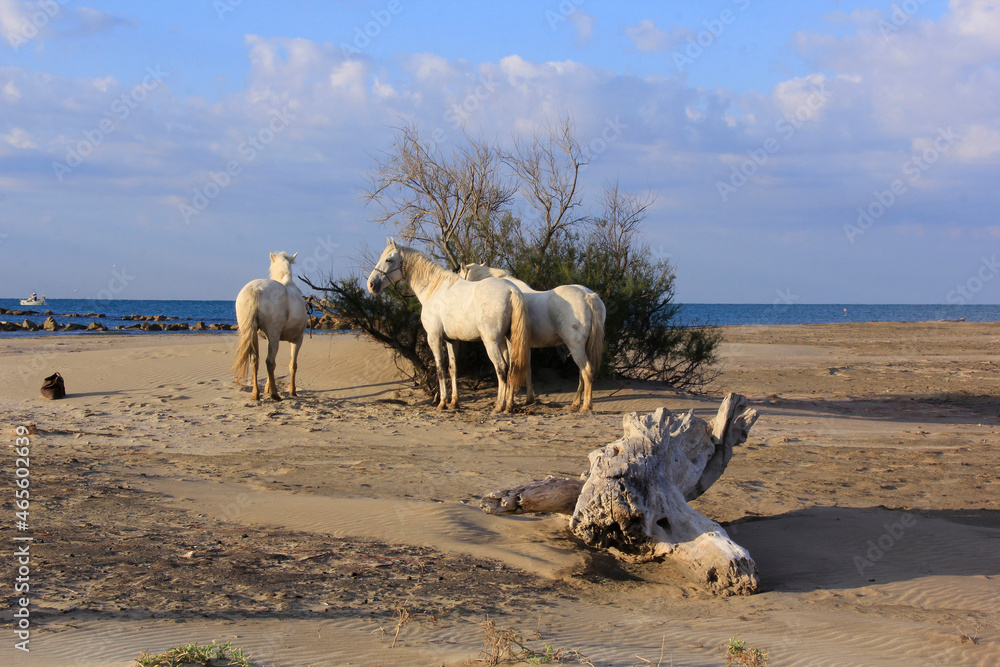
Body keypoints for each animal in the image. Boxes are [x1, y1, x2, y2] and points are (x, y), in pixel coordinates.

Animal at [232, 251, 308, 401]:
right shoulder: (297, 339)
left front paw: (267, 388)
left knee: (255, 360)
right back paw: (275, 394)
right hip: (274, 335)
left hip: (253, 334)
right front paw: (292, 391)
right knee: (269, 361)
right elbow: (293, 365)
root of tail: (255, 289)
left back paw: (256, 393)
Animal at [367, 240, 530, 413]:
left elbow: (440, 369)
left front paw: (442, 402)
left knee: (501, 368)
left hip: (491, 342)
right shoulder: (451, 340)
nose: (371, 284)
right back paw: (509, 405)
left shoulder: (434, 337)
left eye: (389, 260)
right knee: (512, 368)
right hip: (508, 340)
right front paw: (454, 402)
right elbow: (453, 369)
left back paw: (499, 405)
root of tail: (511, 290)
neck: (434, 289)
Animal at [461, 263, 606, 412]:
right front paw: (529, 399)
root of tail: (588, 296)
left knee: (587, 370)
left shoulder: (511, 343)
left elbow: (513, 368)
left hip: (575, 347)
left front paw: (510, 400)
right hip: (584, 347)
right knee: (582, 373)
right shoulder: (526, 345)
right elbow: (527, 369)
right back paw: (576, 403)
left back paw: (586, 406)